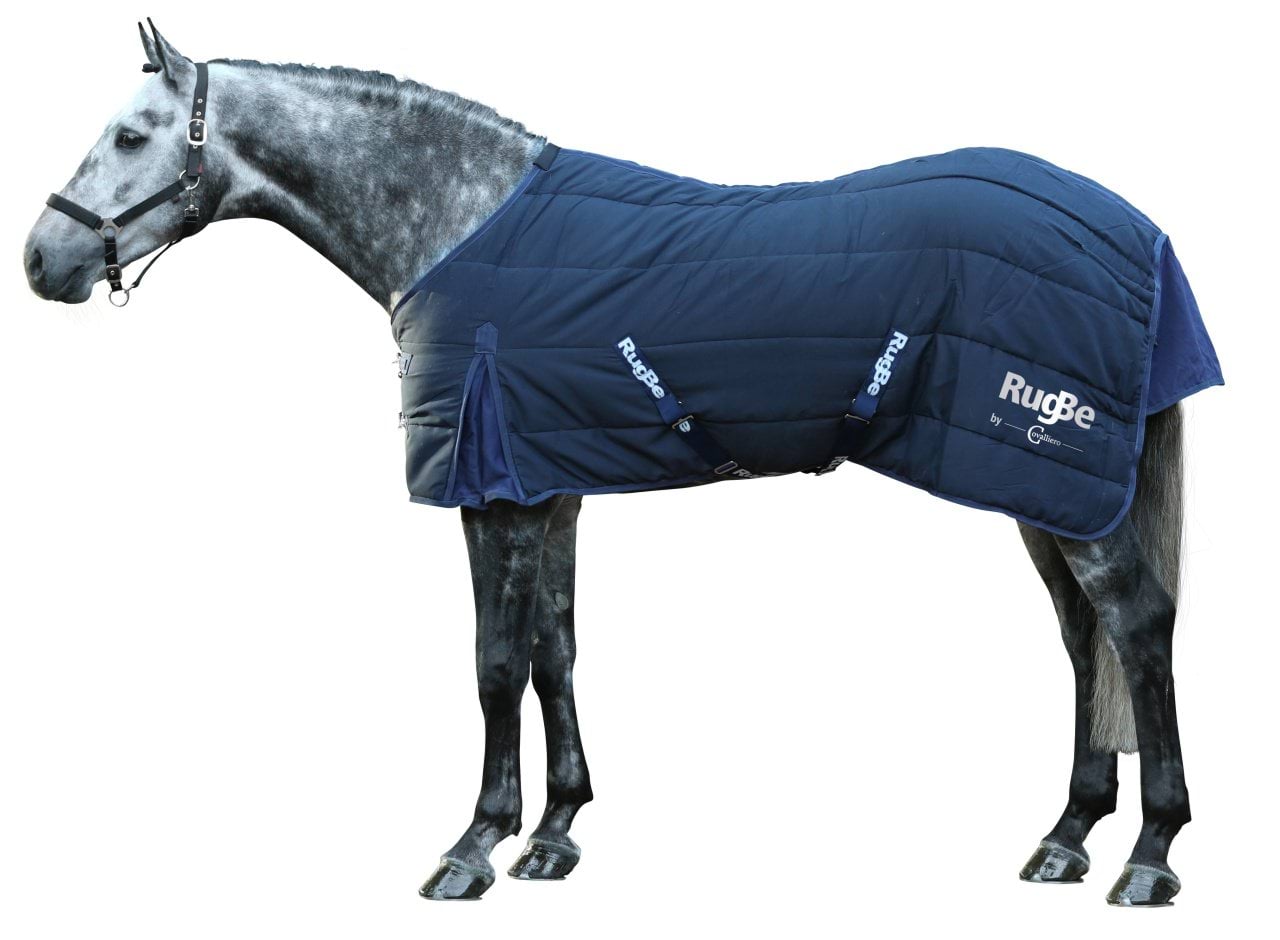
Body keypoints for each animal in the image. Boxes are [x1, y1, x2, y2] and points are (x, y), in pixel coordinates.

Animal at [23, 21, 1220, 906]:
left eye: (130, 135)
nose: (43, 260)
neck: (458, 222)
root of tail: (1140, 233)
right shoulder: (548, 488)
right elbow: (555, 651)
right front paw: (555, 832)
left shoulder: (493, 496)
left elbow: (493, 664)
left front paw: (474, 846)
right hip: (1041, 490)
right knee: (1082, 642)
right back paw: (1066, 837)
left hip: (1061, 479)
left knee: (1137, 628)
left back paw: (1148, 855)